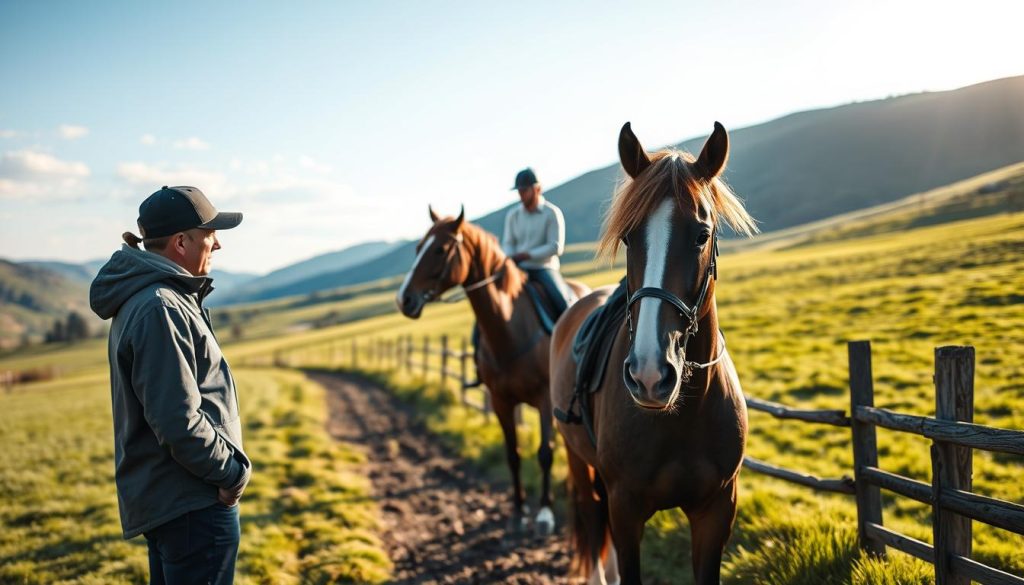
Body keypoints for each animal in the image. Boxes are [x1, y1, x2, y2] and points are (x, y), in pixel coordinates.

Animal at [395, 207, 589, 536]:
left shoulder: (544, 400)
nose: (404, 299)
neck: (510, 327)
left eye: (440, 249)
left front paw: (545, 513)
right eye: (418, 247)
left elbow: (545, 453)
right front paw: (518, 511)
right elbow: (513, 455)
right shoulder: (500, 401)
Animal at [552, 121, 761, 581]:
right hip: (578, 460)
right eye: (629, 238)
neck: (684, 415)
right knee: (590, 517)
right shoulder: (626, 511)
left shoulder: (716, 512)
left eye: (702, 235)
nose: (649, 375)